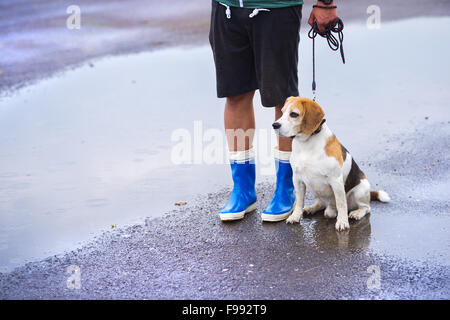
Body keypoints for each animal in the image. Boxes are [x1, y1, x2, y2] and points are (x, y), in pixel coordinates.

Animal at [272, 96, 388, 231]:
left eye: (294, 114)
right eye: (282, 112)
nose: (274, 125)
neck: (307, 143)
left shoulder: (336, 181)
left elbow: (341, 203)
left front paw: (342, 222)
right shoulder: (297, 179)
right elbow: (300, 201)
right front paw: (296, 216)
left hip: (360, 190)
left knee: (365, 208)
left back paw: (356, 213)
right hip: (314, 188)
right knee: (322, 203)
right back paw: (312, 209)